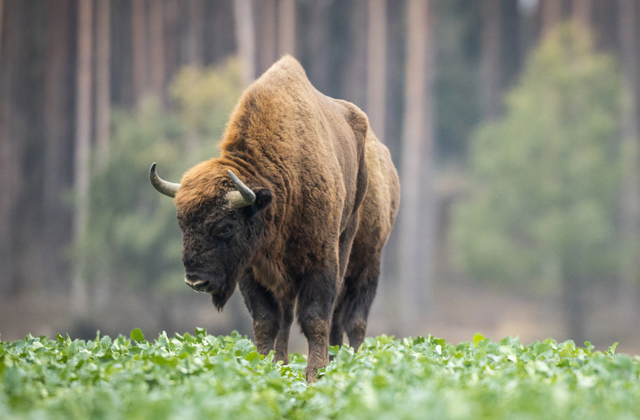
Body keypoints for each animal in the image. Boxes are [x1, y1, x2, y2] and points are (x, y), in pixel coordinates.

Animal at [151, 55, 400, 380]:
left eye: (225, 227)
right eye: (181, 223)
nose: (195, 280)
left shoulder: (321, 261)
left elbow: (315, 318)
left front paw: (315, 373)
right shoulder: (252, 270)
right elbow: (267, 321)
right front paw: (263, 368)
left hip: (360, 255)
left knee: (351, 318)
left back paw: (346, 359)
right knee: (290, 318)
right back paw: (289, 361)